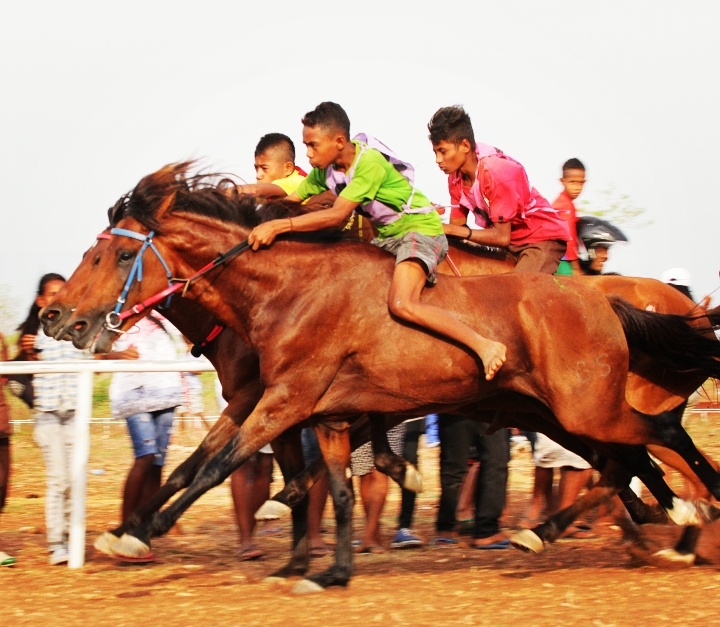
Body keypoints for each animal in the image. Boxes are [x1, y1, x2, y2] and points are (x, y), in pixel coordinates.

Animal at [43, 162, 720, 588]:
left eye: (119, 254)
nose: (57, 316)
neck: (286, 290)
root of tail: (607, 301)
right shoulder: (304, 407)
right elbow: (304, 482)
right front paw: (320, 566)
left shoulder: (285, 399)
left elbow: (220, 467)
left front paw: (145, 531)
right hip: (555, 411)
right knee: (629, 461)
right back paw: (635, 523)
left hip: (586, 407)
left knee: (658, 441)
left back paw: (684, 516)